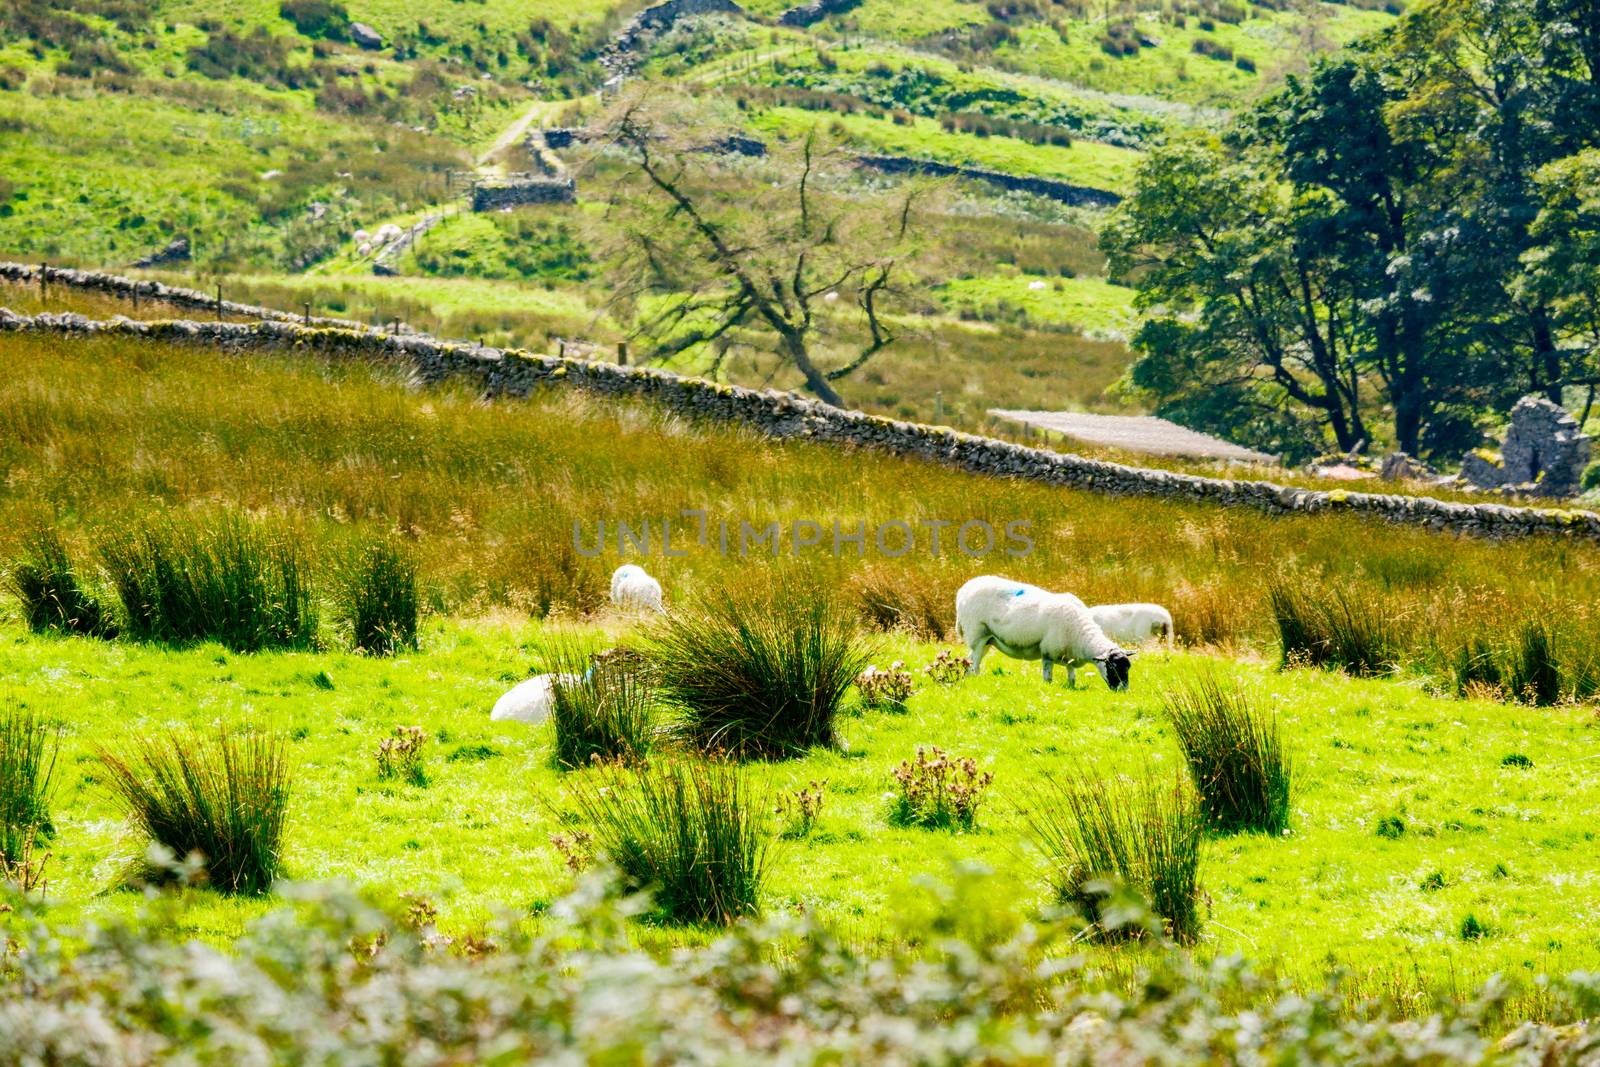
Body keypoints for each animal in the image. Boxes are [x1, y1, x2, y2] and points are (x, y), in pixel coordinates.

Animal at [953, 575, 1132, 694]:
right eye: (1113, 668)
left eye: (1128, 668)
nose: (1124, 692)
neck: (1082, 635)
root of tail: (964, 589)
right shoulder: (1048, 651)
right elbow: (1048, 677)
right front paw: (1047, 688)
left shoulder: (1068, 654)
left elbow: (1071, 677)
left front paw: (1071, 687)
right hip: (977, 633)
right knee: (974, 663)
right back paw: (976, 680)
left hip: (987, 639)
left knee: (970, 661)